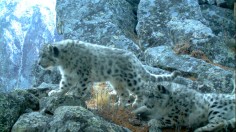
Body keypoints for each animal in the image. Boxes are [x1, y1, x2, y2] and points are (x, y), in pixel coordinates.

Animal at [37, 39, 180, 107]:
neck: (64, 63)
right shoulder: (68, 75)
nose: (38, 63)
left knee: (142, 90)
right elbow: (64, 85)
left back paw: (136, 103)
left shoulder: (83, 74)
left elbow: (82, 86)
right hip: (116, 82)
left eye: (44, 55)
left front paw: (76, 95)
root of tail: (134, 57)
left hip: (131, 79)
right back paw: (118, 105)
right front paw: (56, 93)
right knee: (124, 94)